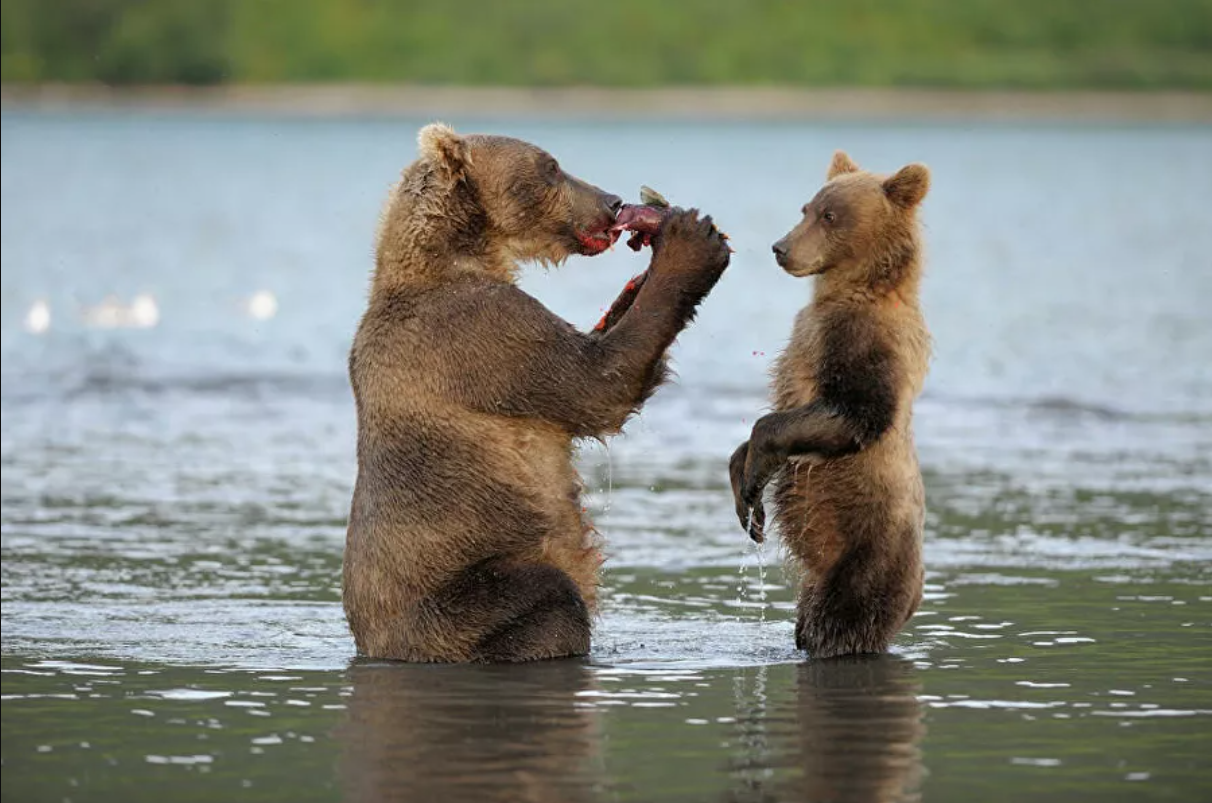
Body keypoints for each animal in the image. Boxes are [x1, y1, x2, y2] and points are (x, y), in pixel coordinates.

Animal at [346, 125, 732, 663]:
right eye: (551, 166)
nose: (613, 202)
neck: (456, 254)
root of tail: (376, 644)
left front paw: (635, 283)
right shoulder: (482, 336)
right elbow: (596, 384)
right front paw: (691, 242)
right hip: (455, 599)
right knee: (549, 596)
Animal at [722, 150, 930, 658]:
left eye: (830, 216)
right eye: (806, 208)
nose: (780, 247)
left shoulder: (865, 343)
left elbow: (855, 413)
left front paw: (756, 473)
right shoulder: (810, 334)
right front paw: (747, 500)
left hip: (866, 557)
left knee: (839, 623)